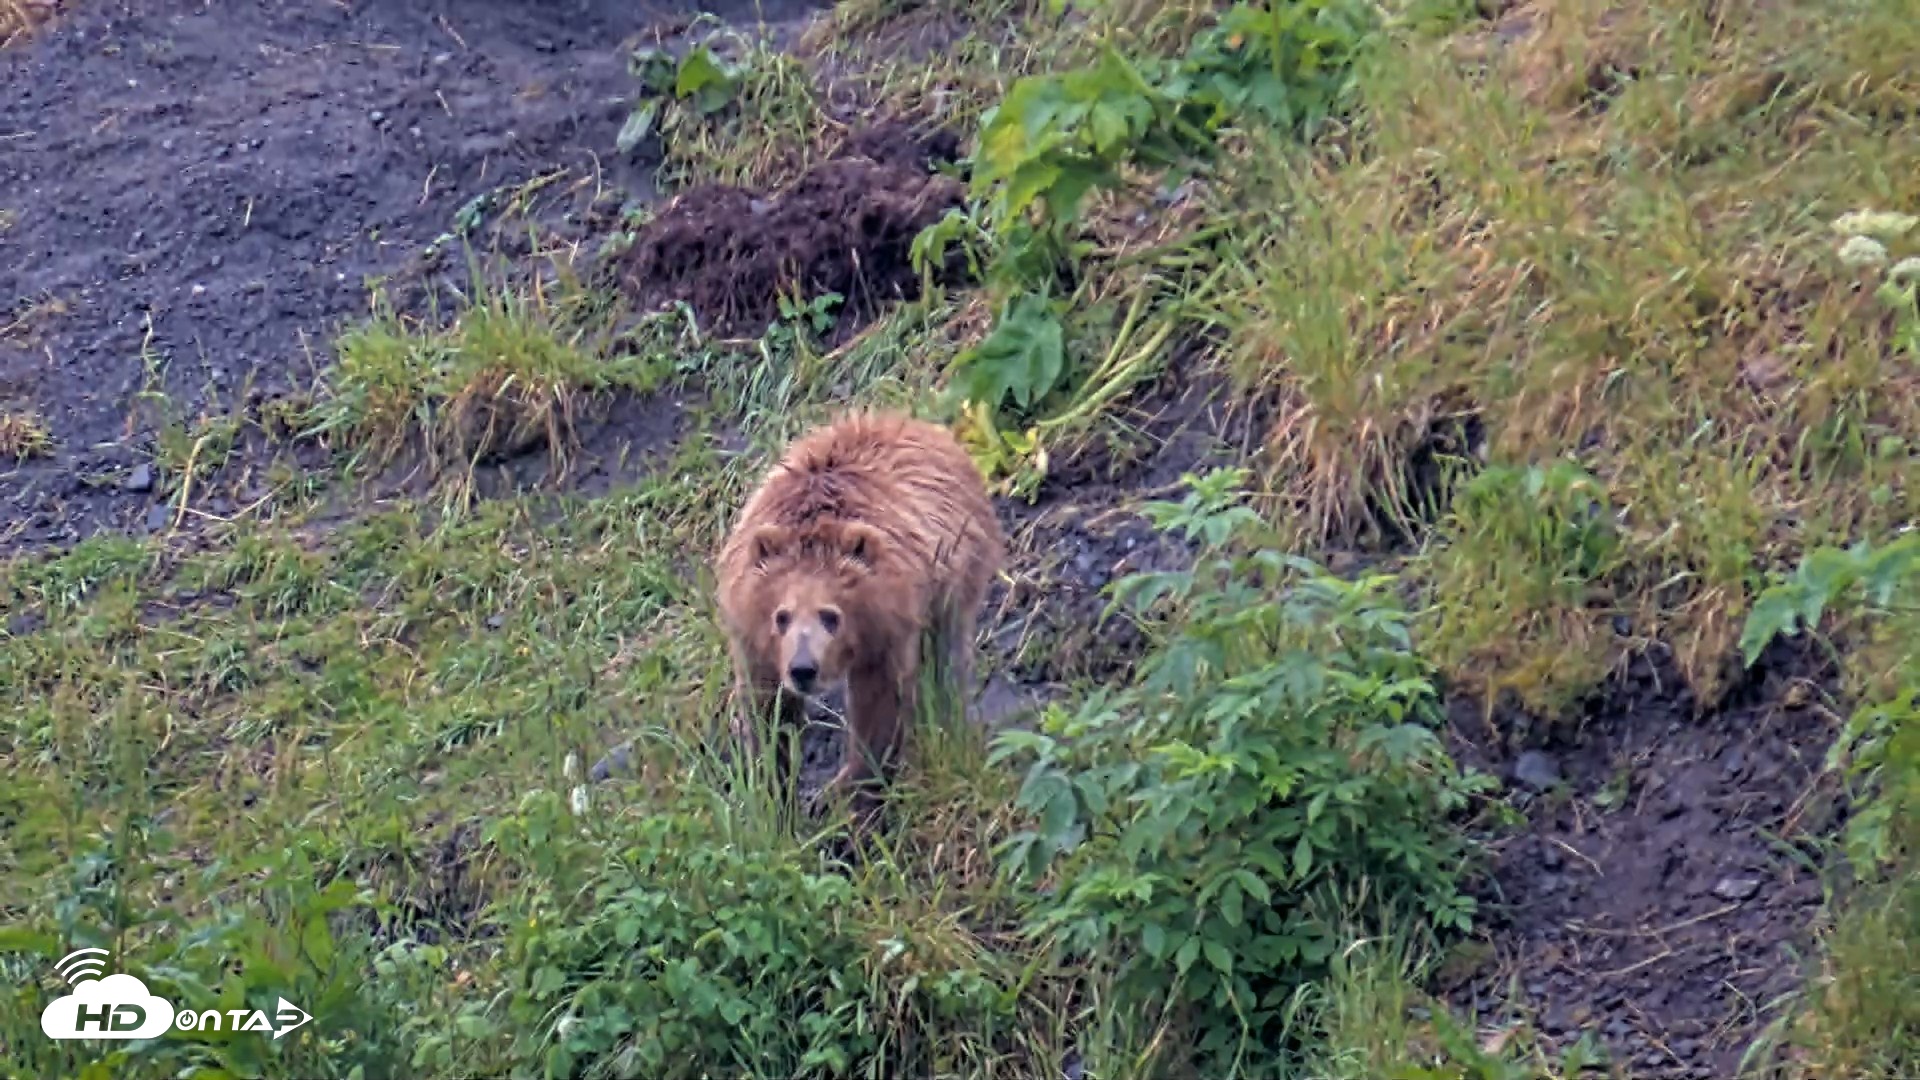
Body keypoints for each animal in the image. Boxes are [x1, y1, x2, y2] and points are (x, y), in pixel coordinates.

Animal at [714, 410, 1006, 808]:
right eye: (781, 616)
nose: (803, 668)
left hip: (953, 577)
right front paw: (773, 789)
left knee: (946, 660)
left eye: (830, 615)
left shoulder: (885, 631)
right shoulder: (753, 639)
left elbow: (878, 708)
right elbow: (768, 712)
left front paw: (854, 789)